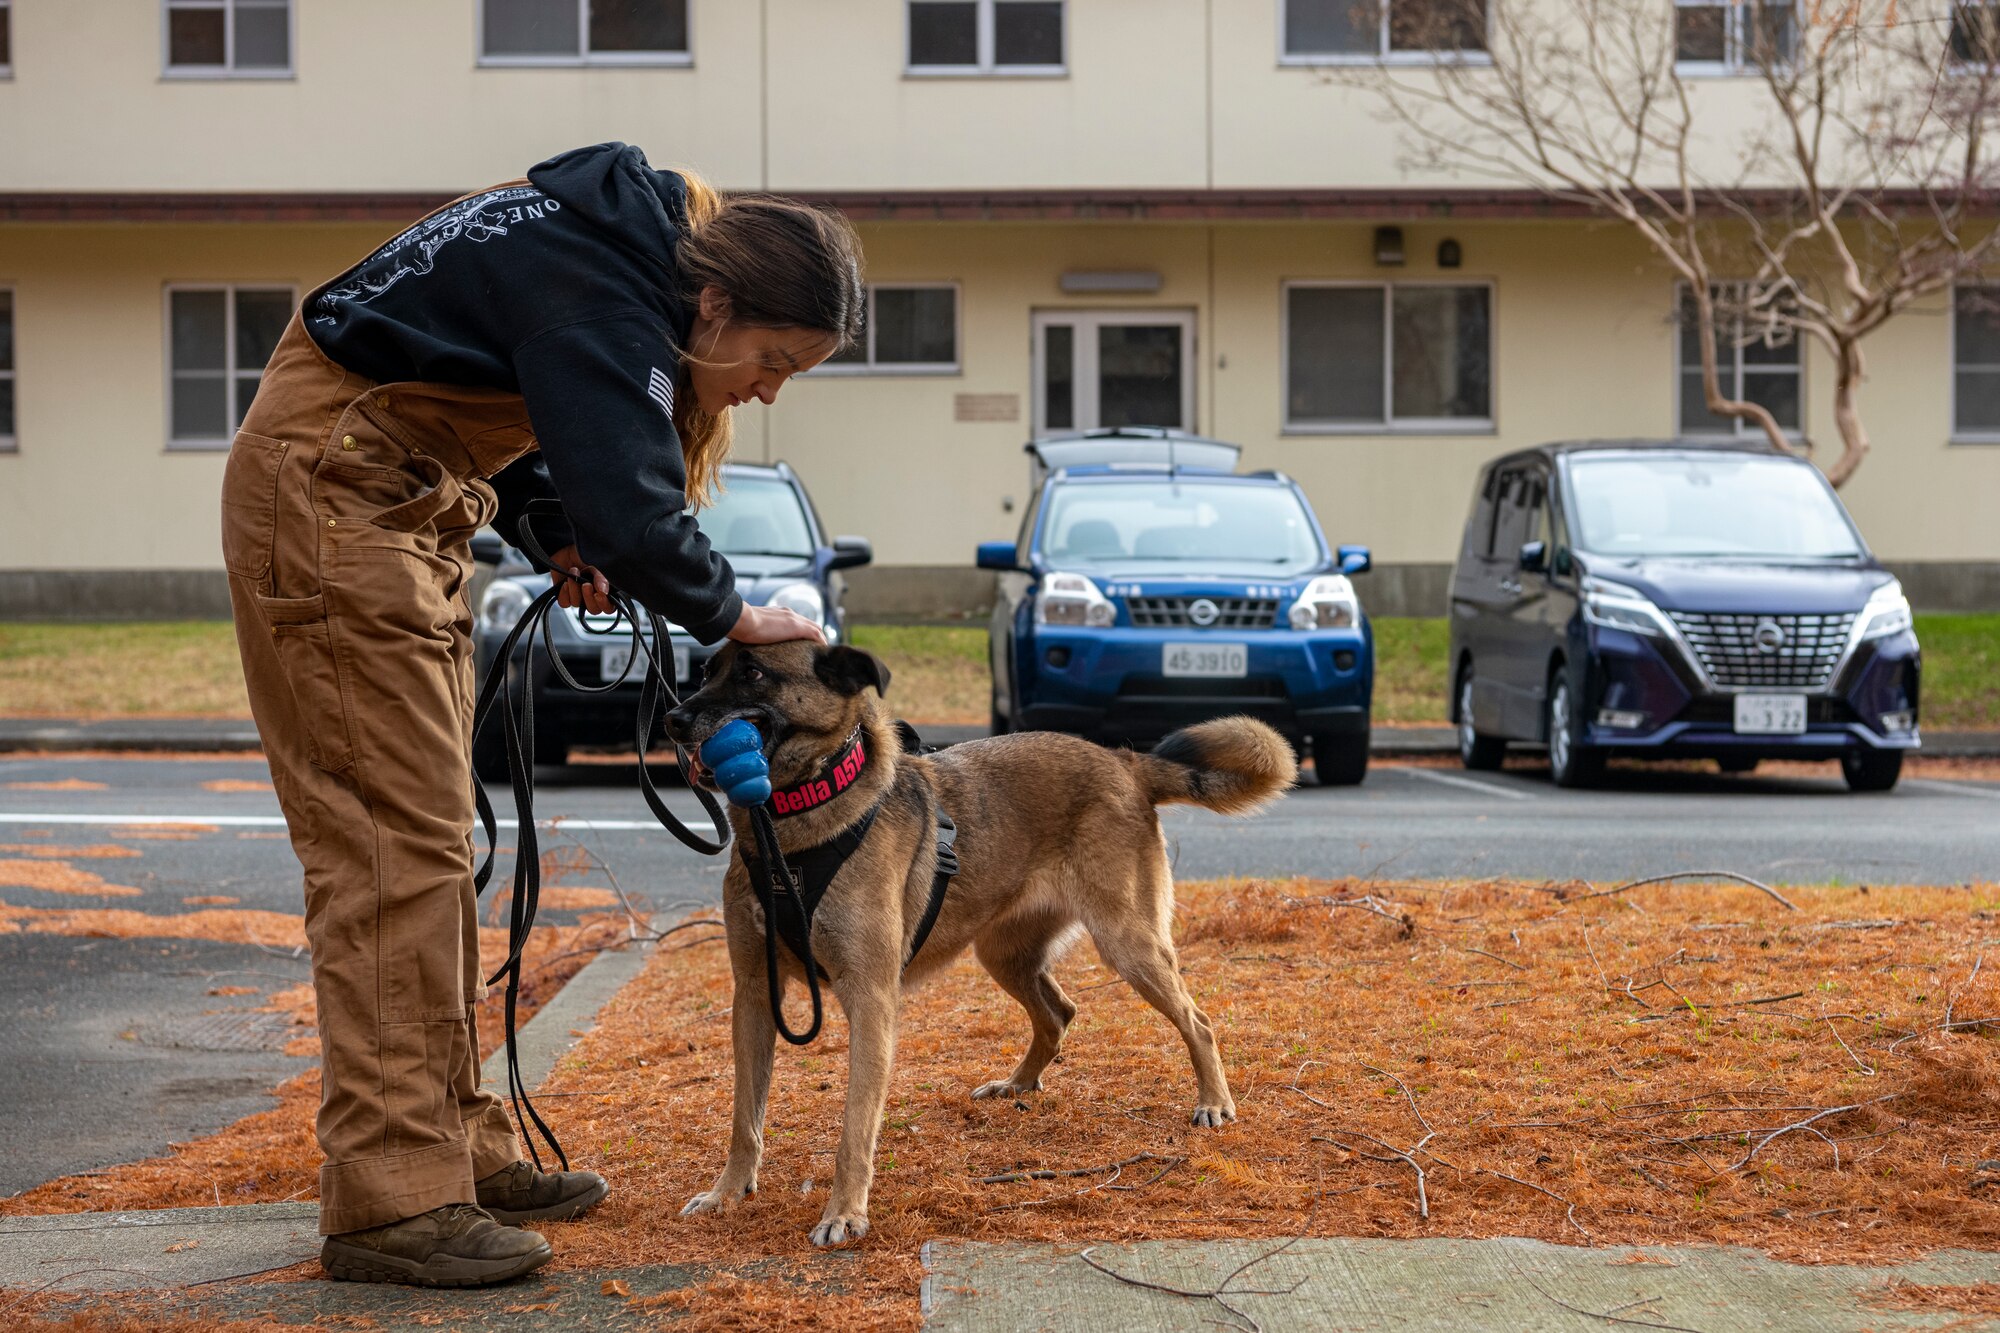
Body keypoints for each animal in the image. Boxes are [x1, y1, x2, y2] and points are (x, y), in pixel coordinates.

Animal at [668, 640, 1296, 1240]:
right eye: (705, 673)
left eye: (753, 673)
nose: (673, 720)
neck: (792, 827)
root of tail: (1125, 761)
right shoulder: (754, 997)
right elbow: (744, 1118)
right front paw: (728, 1193)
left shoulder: (870, 1001)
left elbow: (854, 1128)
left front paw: (844, 1213)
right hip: (1003, 954)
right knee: (1058, 1012)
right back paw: (1019, 1085)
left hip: (1129, 945)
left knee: (1198, 1020)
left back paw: (1213, 1102)